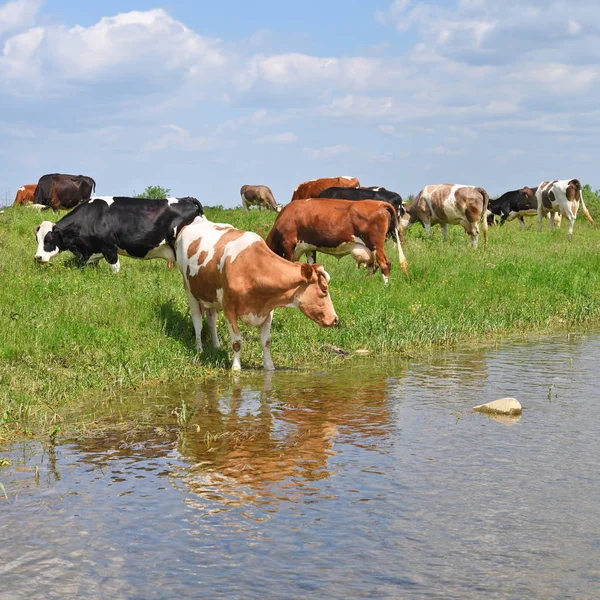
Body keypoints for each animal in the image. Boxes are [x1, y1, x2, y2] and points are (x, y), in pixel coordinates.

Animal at [34, 197, 204, 272]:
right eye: (37, 239)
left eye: (48, 239)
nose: (37, 257)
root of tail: (186, 199)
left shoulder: (109, 248)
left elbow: (115, 269)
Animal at [176, 213, 340, 368]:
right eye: (324, 290)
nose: (335, 319)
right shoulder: (229, 309)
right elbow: (236, 342)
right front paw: (236, 368)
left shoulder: (268, 310)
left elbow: (266, 341)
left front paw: (270, 367)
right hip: (189, 289)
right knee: (197, 321)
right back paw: (199, 348)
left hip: (211, 296)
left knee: (211, 320)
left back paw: (216, 345)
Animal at [264, 197, 408, 282]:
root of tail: (379, 204)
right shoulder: (309, 247)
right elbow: (311, 266)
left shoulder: (288, 244)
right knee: (373, 265)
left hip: (375, 244)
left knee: (384, 264)